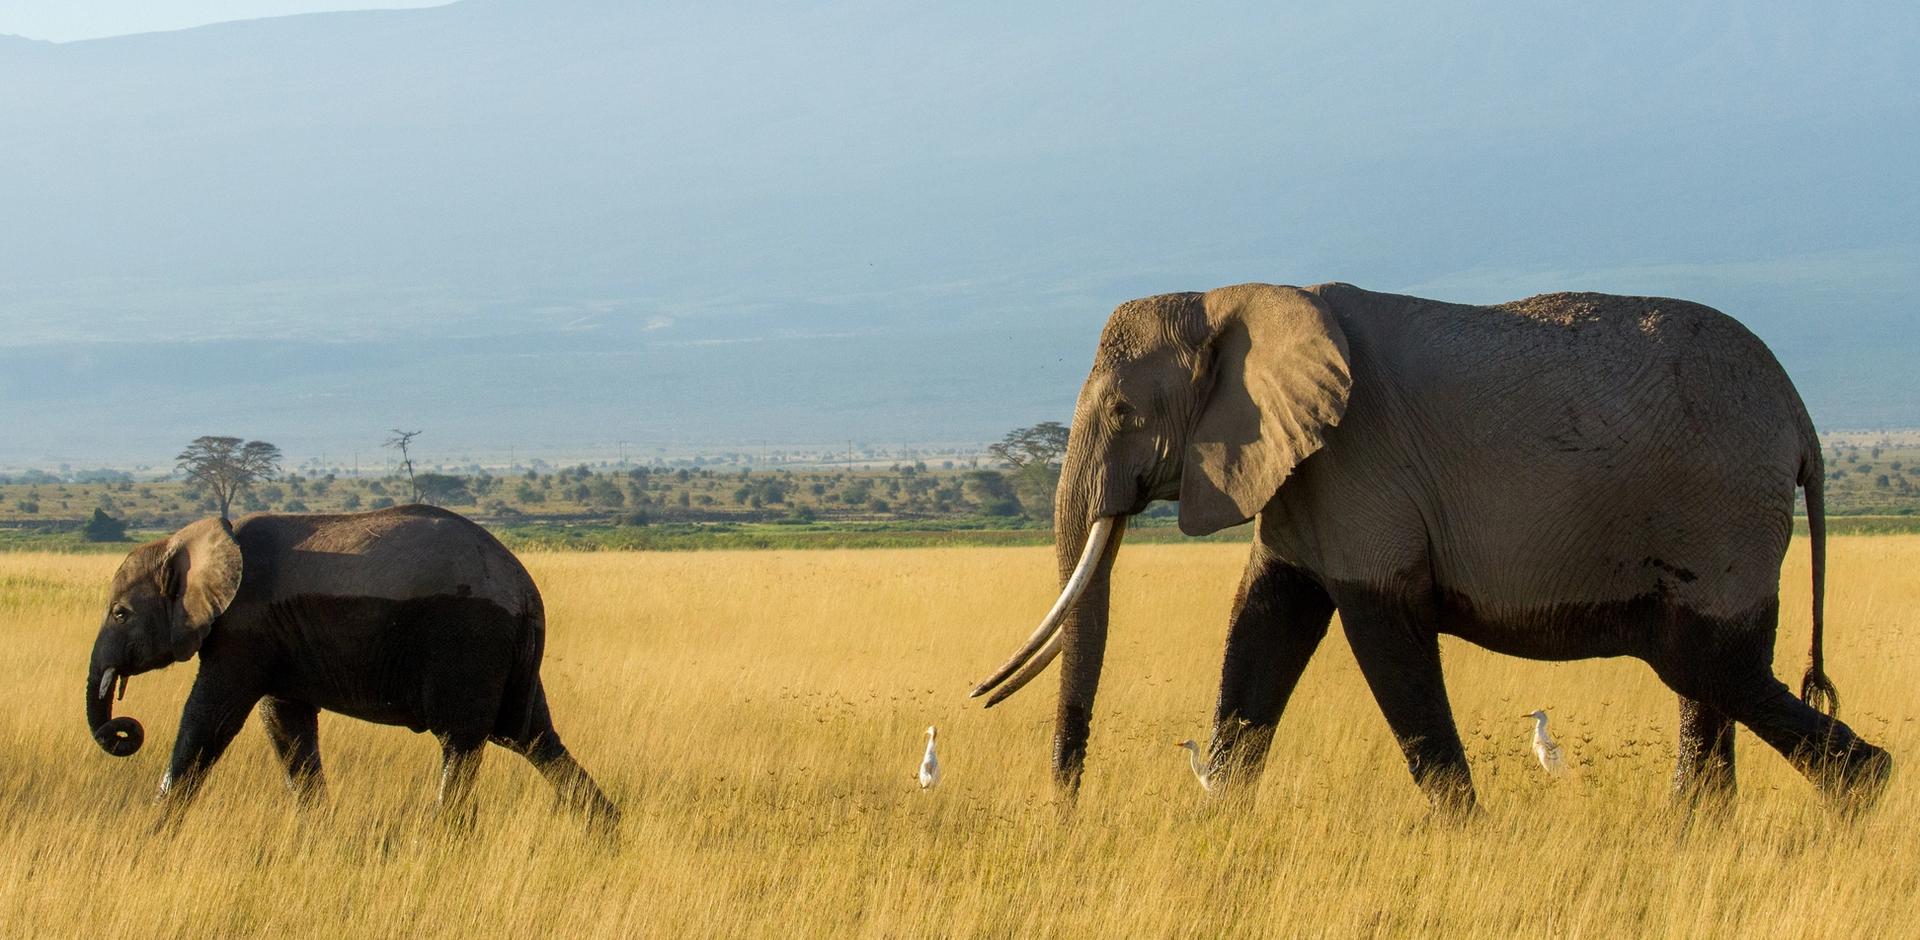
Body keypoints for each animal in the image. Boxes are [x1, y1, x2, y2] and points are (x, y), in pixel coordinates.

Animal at [86, 504, 618, 828]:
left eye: (120, 614)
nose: (124, 729)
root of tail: (526, 590)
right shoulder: (276, 635)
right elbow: (285, 725)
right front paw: (317, 833)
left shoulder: (243, 630)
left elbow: (209, 720)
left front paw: (154, 830)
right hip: (503, 653)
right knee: (532, 737)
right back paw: (607, 835)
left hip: (470, 640)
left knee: (462, 742)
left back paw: (442, 840)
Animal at [973, 282, 1891, 813]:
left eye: (1124, 413)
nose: (1066, 812)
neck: (1236, 296)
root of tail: (1803, 419)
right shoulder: (1305, 468)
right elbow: (1266, 623)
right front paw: (1219, 821)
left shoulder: (1358, 460)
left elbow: (1383, 632)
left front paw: (1466, 832)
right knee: (1707, 672)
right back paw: (1698, 833)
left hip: (1719, 510)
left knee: (1705, 658)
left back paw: (1862, 797)